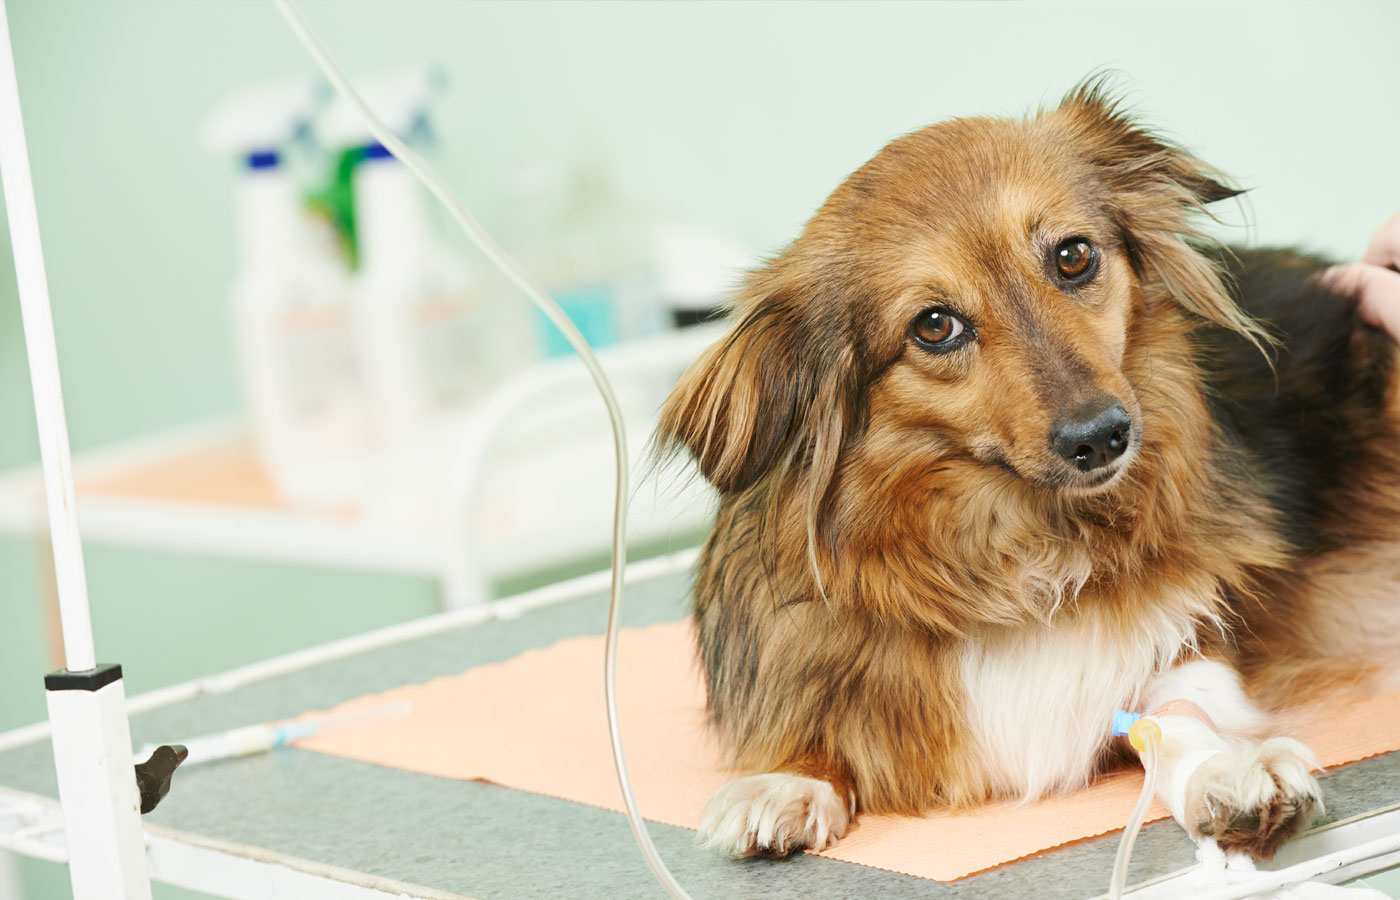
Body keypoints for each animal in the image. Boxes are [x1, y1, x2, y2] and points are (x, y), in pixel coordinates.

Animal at [655, 80, 1400, 862]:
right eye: (935, 325)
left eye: (1073, 256)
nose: (1102, 438)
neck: (1017, 543)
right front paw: (789, 779)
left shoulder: (1195, 638)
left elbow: (1175, 714)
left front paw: (1227, 773)